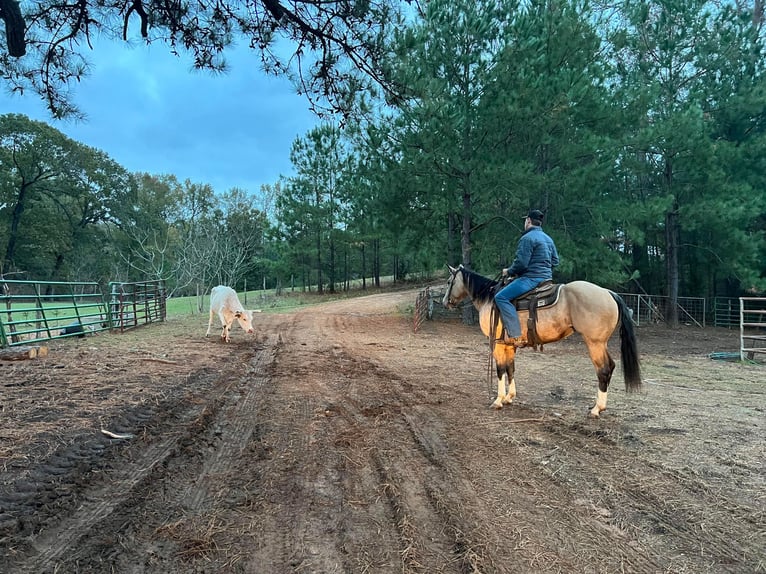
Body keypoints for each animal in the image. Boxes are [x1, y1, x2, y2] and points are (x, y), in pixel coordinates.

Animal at [444, 266, 640, 418]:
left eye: (448, 282)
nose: (446, 302)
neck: (490, 298)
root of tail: (609, 293)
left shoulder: (497, 343)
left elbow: (500, 370)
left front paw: (498, 400)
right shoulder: (509, 345)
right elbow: (510, 368)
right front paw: (509, 397)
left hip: (595, 343)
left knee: (604, 370)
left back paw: (596, 409)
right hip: (600, 344)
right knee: (611, 367)